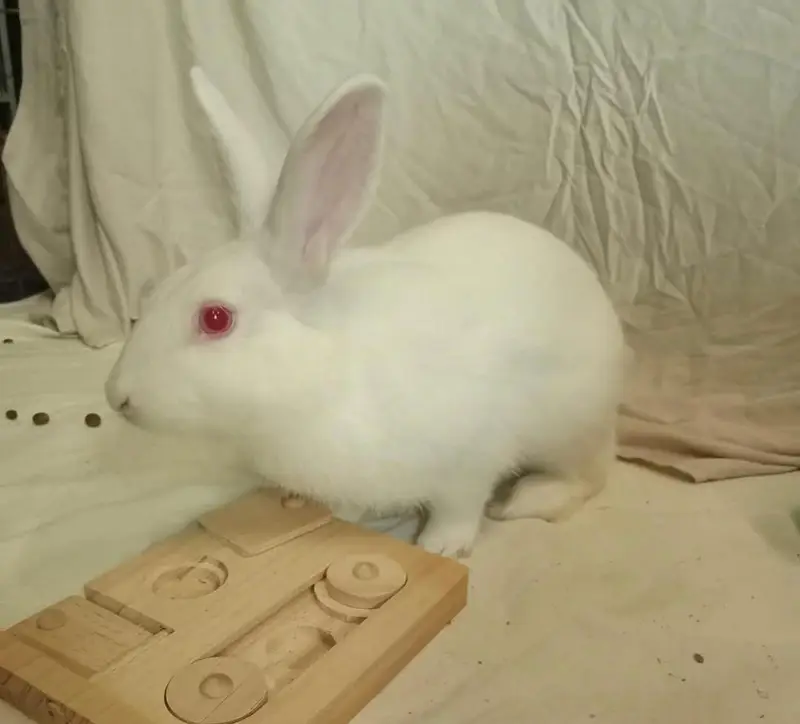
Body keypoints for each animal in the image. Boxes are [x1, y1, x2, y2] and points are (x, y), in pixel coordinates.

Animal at [104, 66, 625, 558]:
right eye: (157, 290)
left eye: (215, 318)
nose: (117, 397)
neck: (325, 377)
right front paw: (341, 517)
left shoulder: (471, 455)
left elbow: (460, 505)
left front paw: (440, 545)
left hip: (571, 425)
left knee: (593, 474)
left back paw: (525, 500)